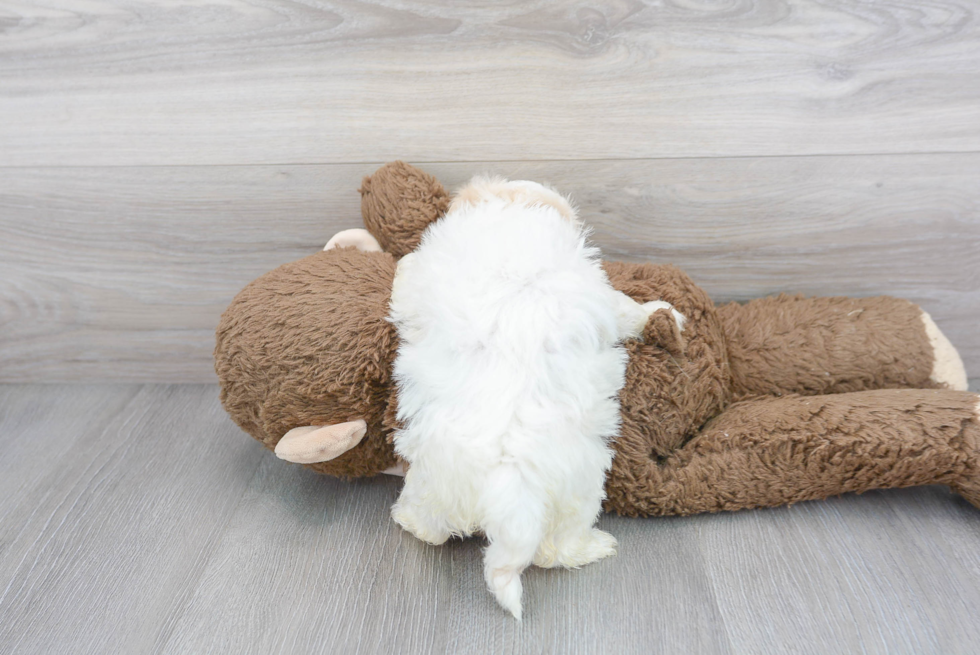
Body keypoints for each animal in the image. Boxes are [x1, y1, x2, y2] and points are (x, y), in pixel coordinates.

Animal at [386, 177, 676, 616]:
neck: (511, 216)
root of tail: (512, 485)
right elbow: (626, 309)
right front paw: (660, 311)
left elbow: (406, 278)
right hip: (574, 491)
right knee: (556, 549)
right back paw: (595, 547)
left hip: (434, 482)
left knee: (431, 529)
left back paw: (406, 520)